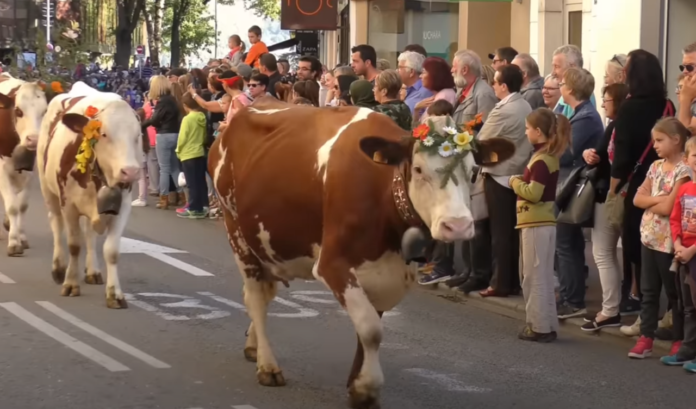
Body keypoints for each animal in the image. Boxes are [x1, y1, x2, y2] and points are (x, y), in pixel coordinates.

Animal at [0, 71, 47, 253]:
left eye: (45, 111)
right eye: (18, 111)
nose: (34, 139)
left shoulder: (32, 171)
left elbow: (22, 205)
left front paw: (21, 237)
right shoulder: (1, 169)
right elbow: (12, 206)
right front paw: (14, 242)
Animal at [37, 81, 143, 308]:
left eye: (137, 136)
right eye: (104, 134)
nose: (130, 171)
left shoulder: (123, 207)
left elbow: (111, 251)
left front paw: (114, 294)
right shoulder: (68, 205)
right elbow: (74, 245)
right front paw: (70, 284)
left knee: (89, 233)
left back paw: (92, 271)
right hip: (47, 188)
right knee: (56, 223)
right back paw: (58, 268)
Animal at [209, 97, 512, 406]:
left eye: (473, 172)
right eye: (418, 170)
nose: (458, 226)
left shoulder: (385, 271)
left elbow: (369, 327)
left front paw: (356, 382)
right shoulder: (333, 264)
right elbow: (370, 329)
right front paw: (367, 387)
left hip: (268, 244)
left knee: (262, 292)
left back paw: (253, 346)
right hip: (237, 231)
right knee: (256, 297)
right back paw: (268, 366)